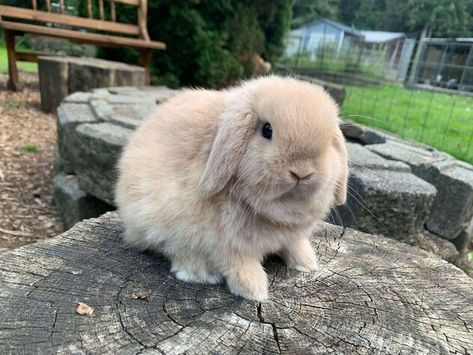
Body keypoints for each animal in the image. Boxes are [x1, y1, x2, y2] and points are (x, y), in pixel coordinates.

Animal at [116, 76, 348, 302]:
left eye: (329, 141)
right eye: (267, 130)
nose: (301, 172)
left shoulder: (291, 237)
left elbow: (294, 245)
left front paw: (307, 264)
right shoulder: (226, 243)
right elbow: (239, 263)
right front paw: (254, 291)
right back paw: (199, 273)